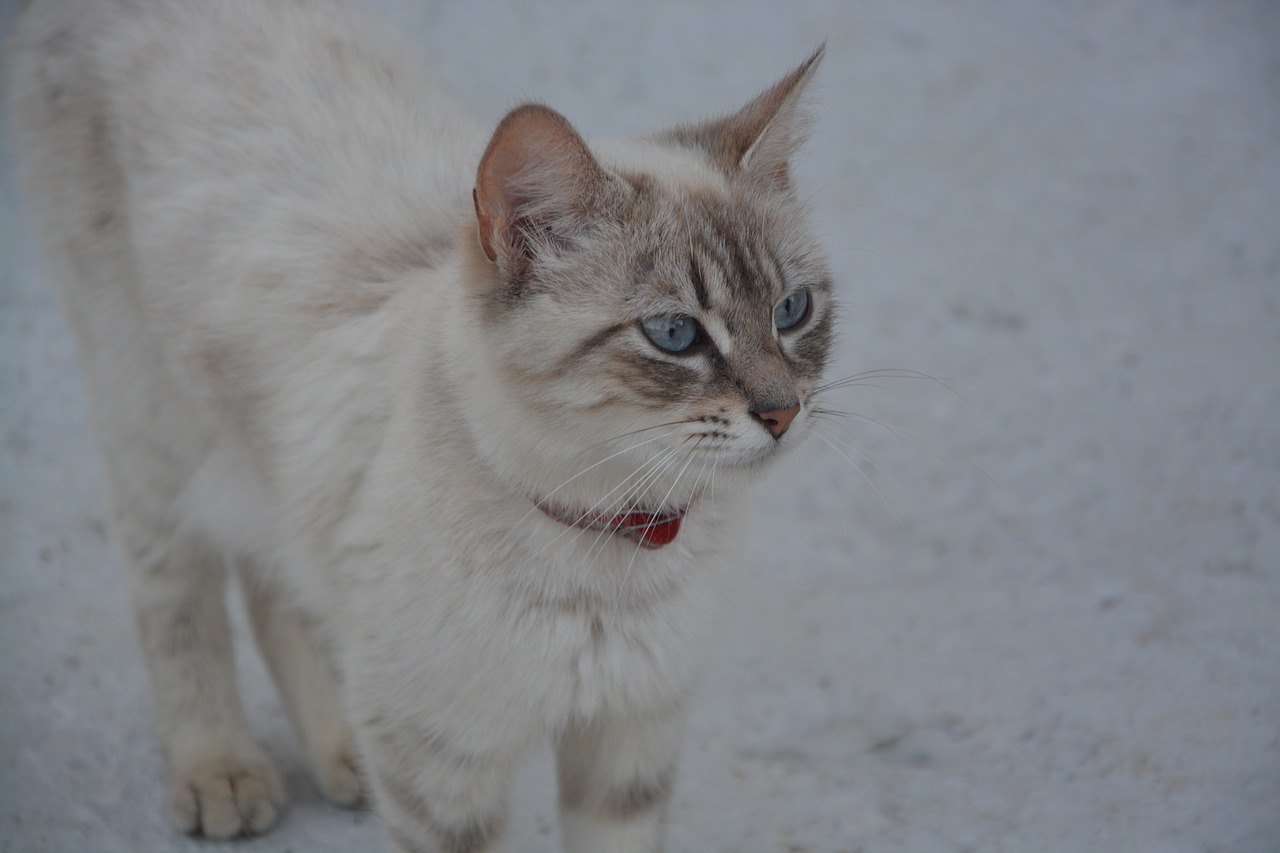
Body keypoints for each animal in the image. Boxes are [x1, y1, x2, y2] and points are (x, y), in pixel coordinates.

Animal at [7, 1, 839, 850]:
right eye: (675, 334)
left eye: (792, 310)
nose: (783, 411)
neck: (614, 540)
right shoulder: (445, 769)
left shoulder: (629, 740)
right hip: (152, 423)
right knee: (175, 588)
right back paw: (220, 771)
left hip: (270, 470)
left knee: (279, 581)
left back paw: (340, 747)